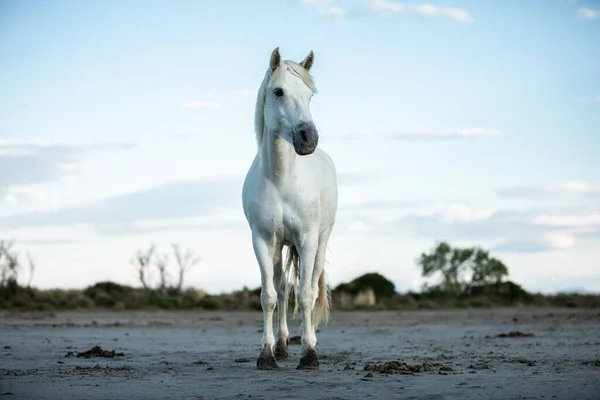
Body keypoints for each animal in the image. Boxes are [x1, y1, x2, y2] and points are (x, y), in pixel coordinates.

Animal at [243, 47, 338, 368]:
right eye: (278, 91)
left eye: (309, 95)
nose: (308, 138)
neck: (281, 179)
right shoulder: (262, 240)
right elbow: (269, 296)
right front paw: (267, 353)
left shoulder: (307, 239)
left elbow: (306, 294)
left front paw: (309, 354)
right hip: (279, 246)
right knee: (282, 290)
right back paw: (283, 344)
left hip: (321, 240)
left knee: (310, 285)